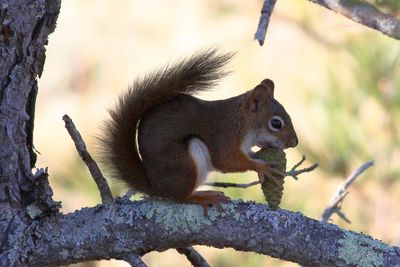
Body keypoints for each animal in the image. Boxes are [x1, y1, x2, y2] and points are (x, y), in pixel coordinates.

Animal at [100, 50, 298, 214]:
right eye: (276, 123)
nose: (294, 143)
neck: (241, 122)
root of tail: (156, 186)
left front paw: (258, 158)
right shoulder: (224, 136)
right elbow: (226, 161)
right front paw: (262, 167)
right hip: (185, 161)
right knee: (180, 197)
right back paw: (202, 197)